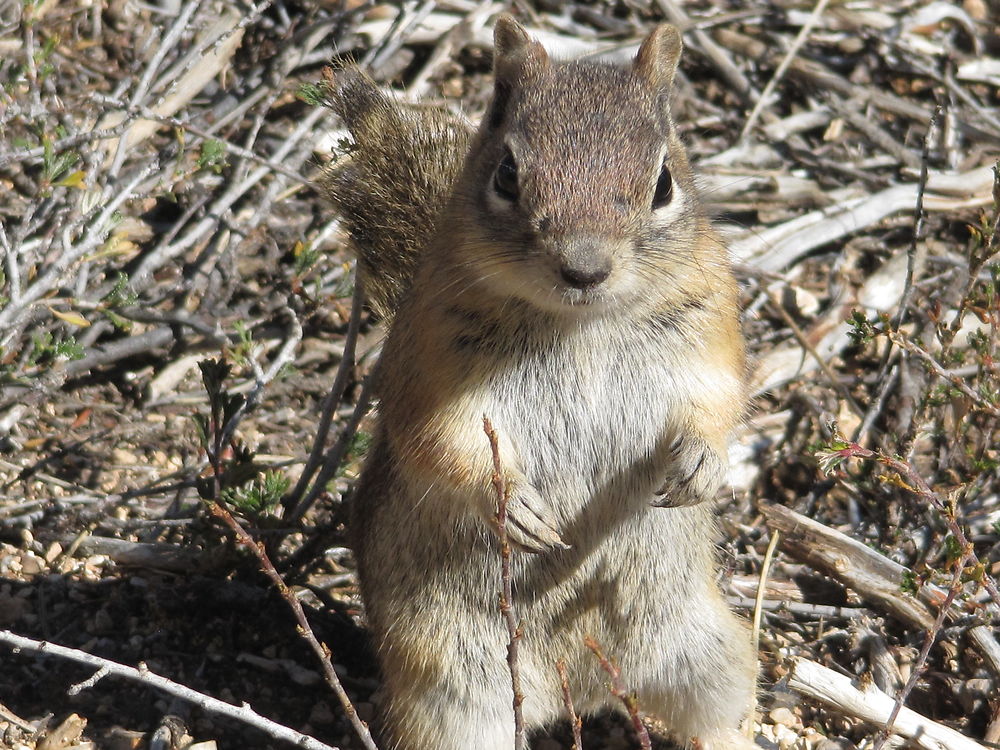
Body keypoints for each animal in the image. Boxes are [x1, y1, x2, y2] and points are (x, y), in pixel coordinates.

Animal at [318, 14, 752, 750]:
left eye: (663, 182)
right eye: (507, 173)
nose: (584, 267)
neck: (580, 323)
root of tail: (582, 684)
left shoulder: (710, 326)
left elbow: (720, 402)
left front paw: (699, 464)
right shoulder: (428, 362)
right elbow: (440, 440)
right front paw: (514, 505)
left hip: (707, 653)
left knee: (720, 714)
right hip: (452, 699)